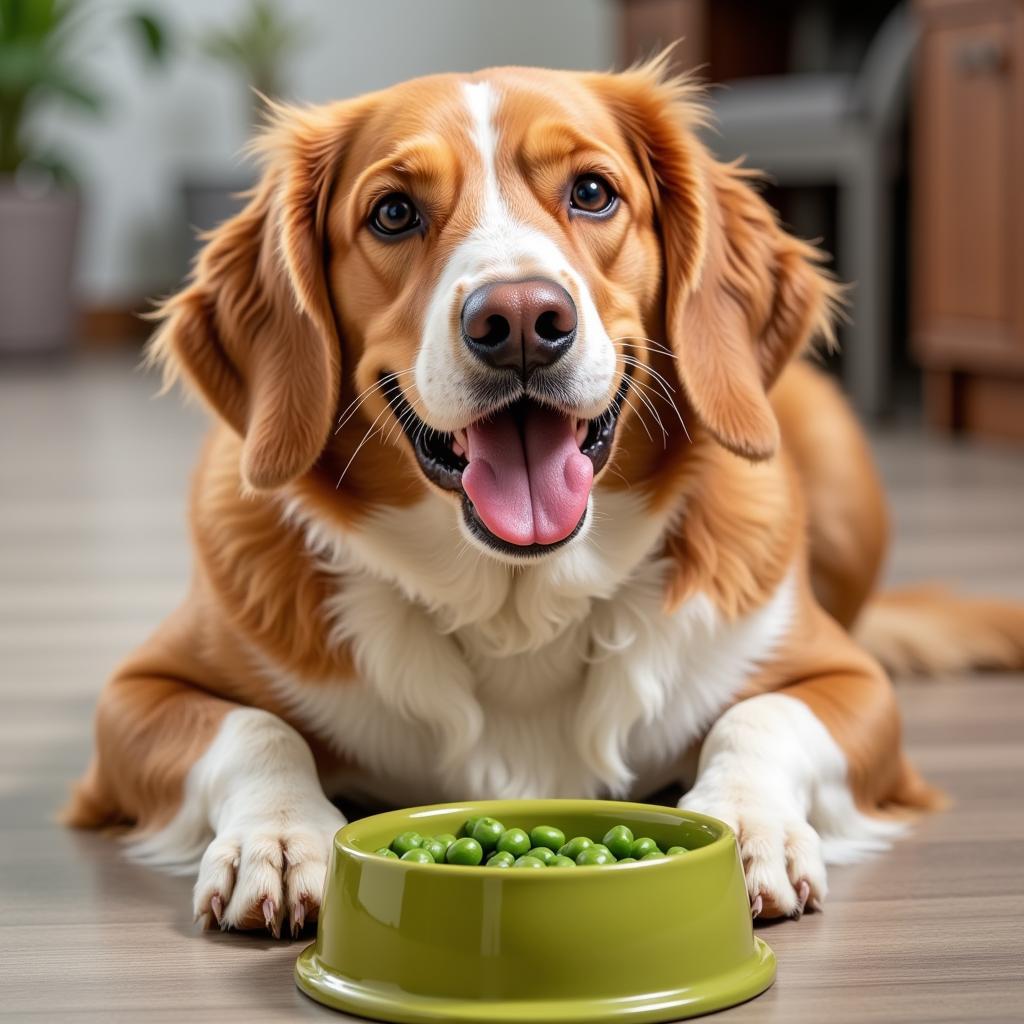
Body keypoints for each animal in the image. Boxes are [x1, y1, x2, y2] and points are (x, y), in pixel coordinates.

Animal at [66, 58, 1024, 937]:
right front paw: (278, 837)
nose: (522, 320)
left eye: (593, 192)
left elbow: (761, 715)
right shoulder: (136, 695)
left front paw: (747, 823)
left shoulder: (850, 682)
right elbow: (259, 732)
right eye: (393, 212)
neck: (516, 602)